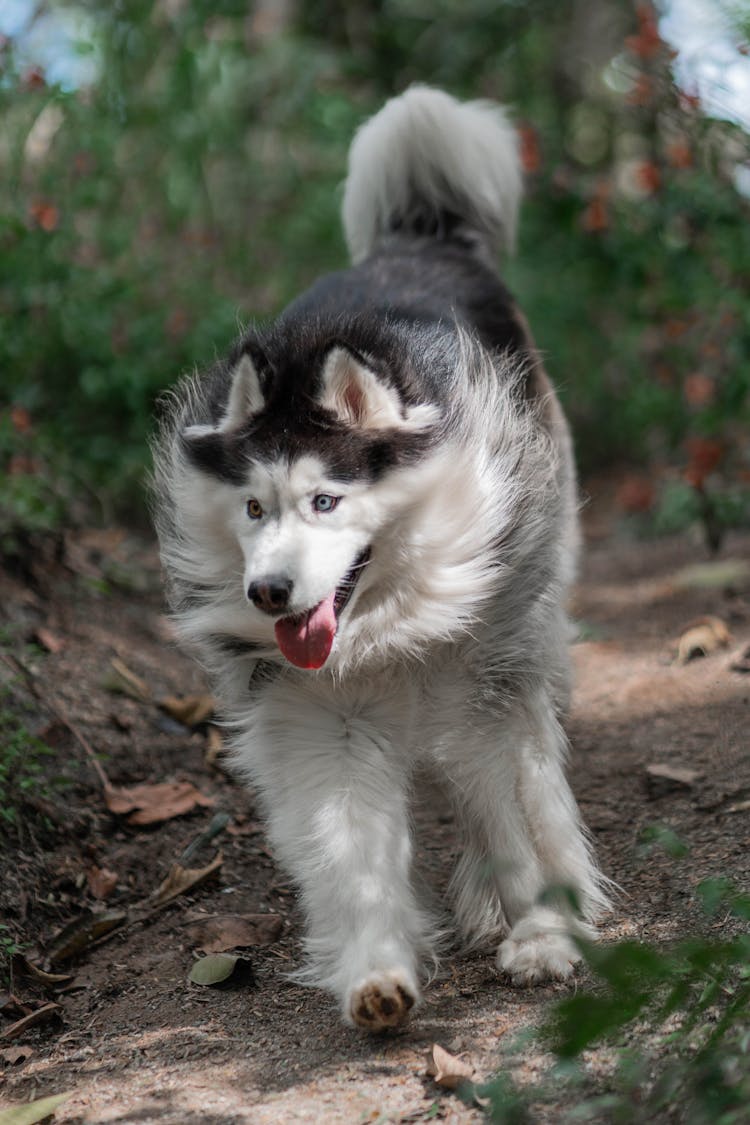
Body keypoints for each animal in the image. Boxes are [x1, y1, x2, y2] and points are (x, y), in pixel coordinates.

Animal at [152, 87, 611, 1030]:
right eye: (254, 507)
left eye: (327, 500)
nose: (270, 590)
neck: (387, 620)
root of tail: (418, 234)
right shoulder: (326, 717)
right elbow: (352, 845)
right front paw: (376, 972)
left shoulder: (484, 687)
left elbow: (514, 805)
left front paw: (543, 931)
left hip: (538, 598)